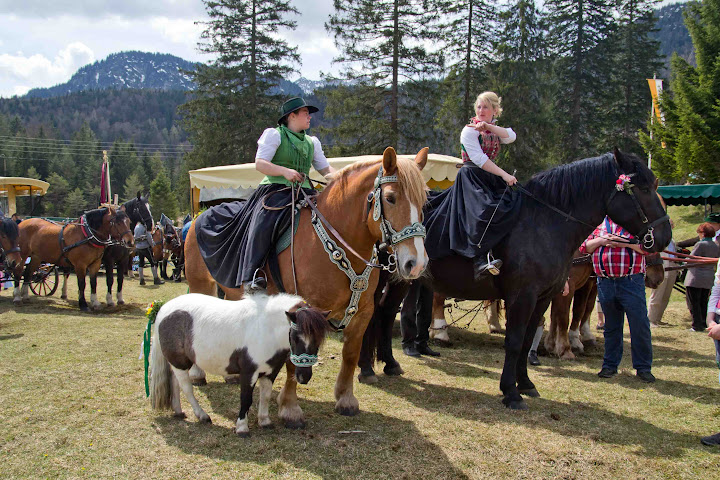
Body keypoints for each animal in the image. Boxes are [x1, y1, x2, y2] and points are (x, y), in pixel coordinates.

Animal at [153, 292, 334, 436]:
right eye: (295, 337)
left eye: (318, 341)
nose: (304, 377)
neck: (265, 329)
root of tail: (165, 309)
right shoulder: (249, 372)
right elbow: (246, 399)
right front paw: (242, 428)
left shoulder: (270, 372)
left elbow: (265, 396)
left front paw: (264, 421)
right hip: (181, 363)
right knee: (187, 388)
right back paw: (202, 416)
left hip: (177, 364)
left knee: (174, 383)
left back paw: (178, 411)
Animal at [186, 147, 430, 428]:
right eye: (390, 198)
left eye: (424, 202)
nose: (416, 263)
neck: (336, 245)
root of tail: (200, 216)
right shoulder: (298, 312)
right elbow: (293, 362)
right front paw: (290, 408)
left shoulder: (363, 312)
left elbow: (350, 354)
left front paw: (345, 399)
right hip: (200, 283)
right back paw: (197, 373)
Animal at [362, 149, 672, 408]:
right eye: (644, 189)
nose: (662, 237)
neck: (543, 223)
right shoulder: (522, 297)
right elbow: (513, 341)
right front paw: (510, 392)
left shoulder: (543, 298)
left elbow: (525, 341)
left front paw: (525, 384)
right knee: (374, 314)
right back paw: (366, 368)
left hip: (404, 279)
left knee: (385, 314)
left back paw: (389, 364)